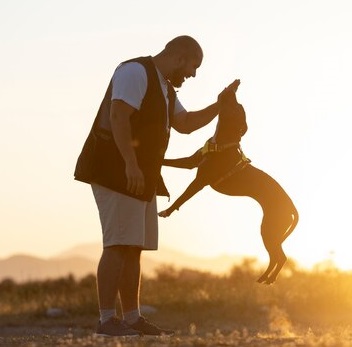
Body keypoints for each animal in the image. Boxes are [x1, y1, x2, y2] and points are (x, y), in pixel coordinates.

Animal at [158, 81, 298, 286]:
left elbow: (182, 197)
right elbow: (169, 161)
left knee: (280, 256)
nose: (236, 82)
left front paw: (167, 211)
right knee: (276, 256)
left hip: (269, 229)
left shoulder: (200, 181)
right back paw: (264, 277)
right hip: (272, 231)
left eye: (237, 106)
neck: (222, 141)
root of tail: (291, 208)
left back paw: (269, 278)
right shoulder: (191, 162)